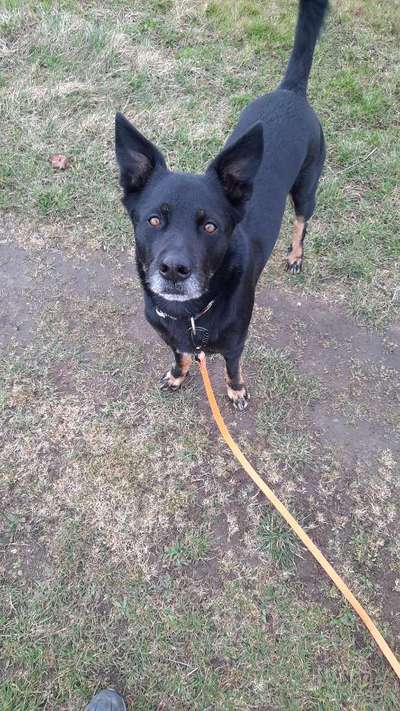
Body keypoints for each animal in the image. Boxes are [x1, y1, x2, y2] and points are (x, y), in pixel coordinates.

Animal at [115, 0, 328, 408]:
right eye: (153, 220)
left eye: (210, 226)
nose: (174, 269)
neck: (189, 313)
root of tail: (290, 91)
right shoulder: (172, 337)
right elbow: (180, 354)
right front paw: (178, 375)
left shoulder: (234, 343)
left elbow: (232, 370)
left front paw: (236, 391)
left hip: (307, 187)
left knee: (301, 222)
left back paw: (295, 255)